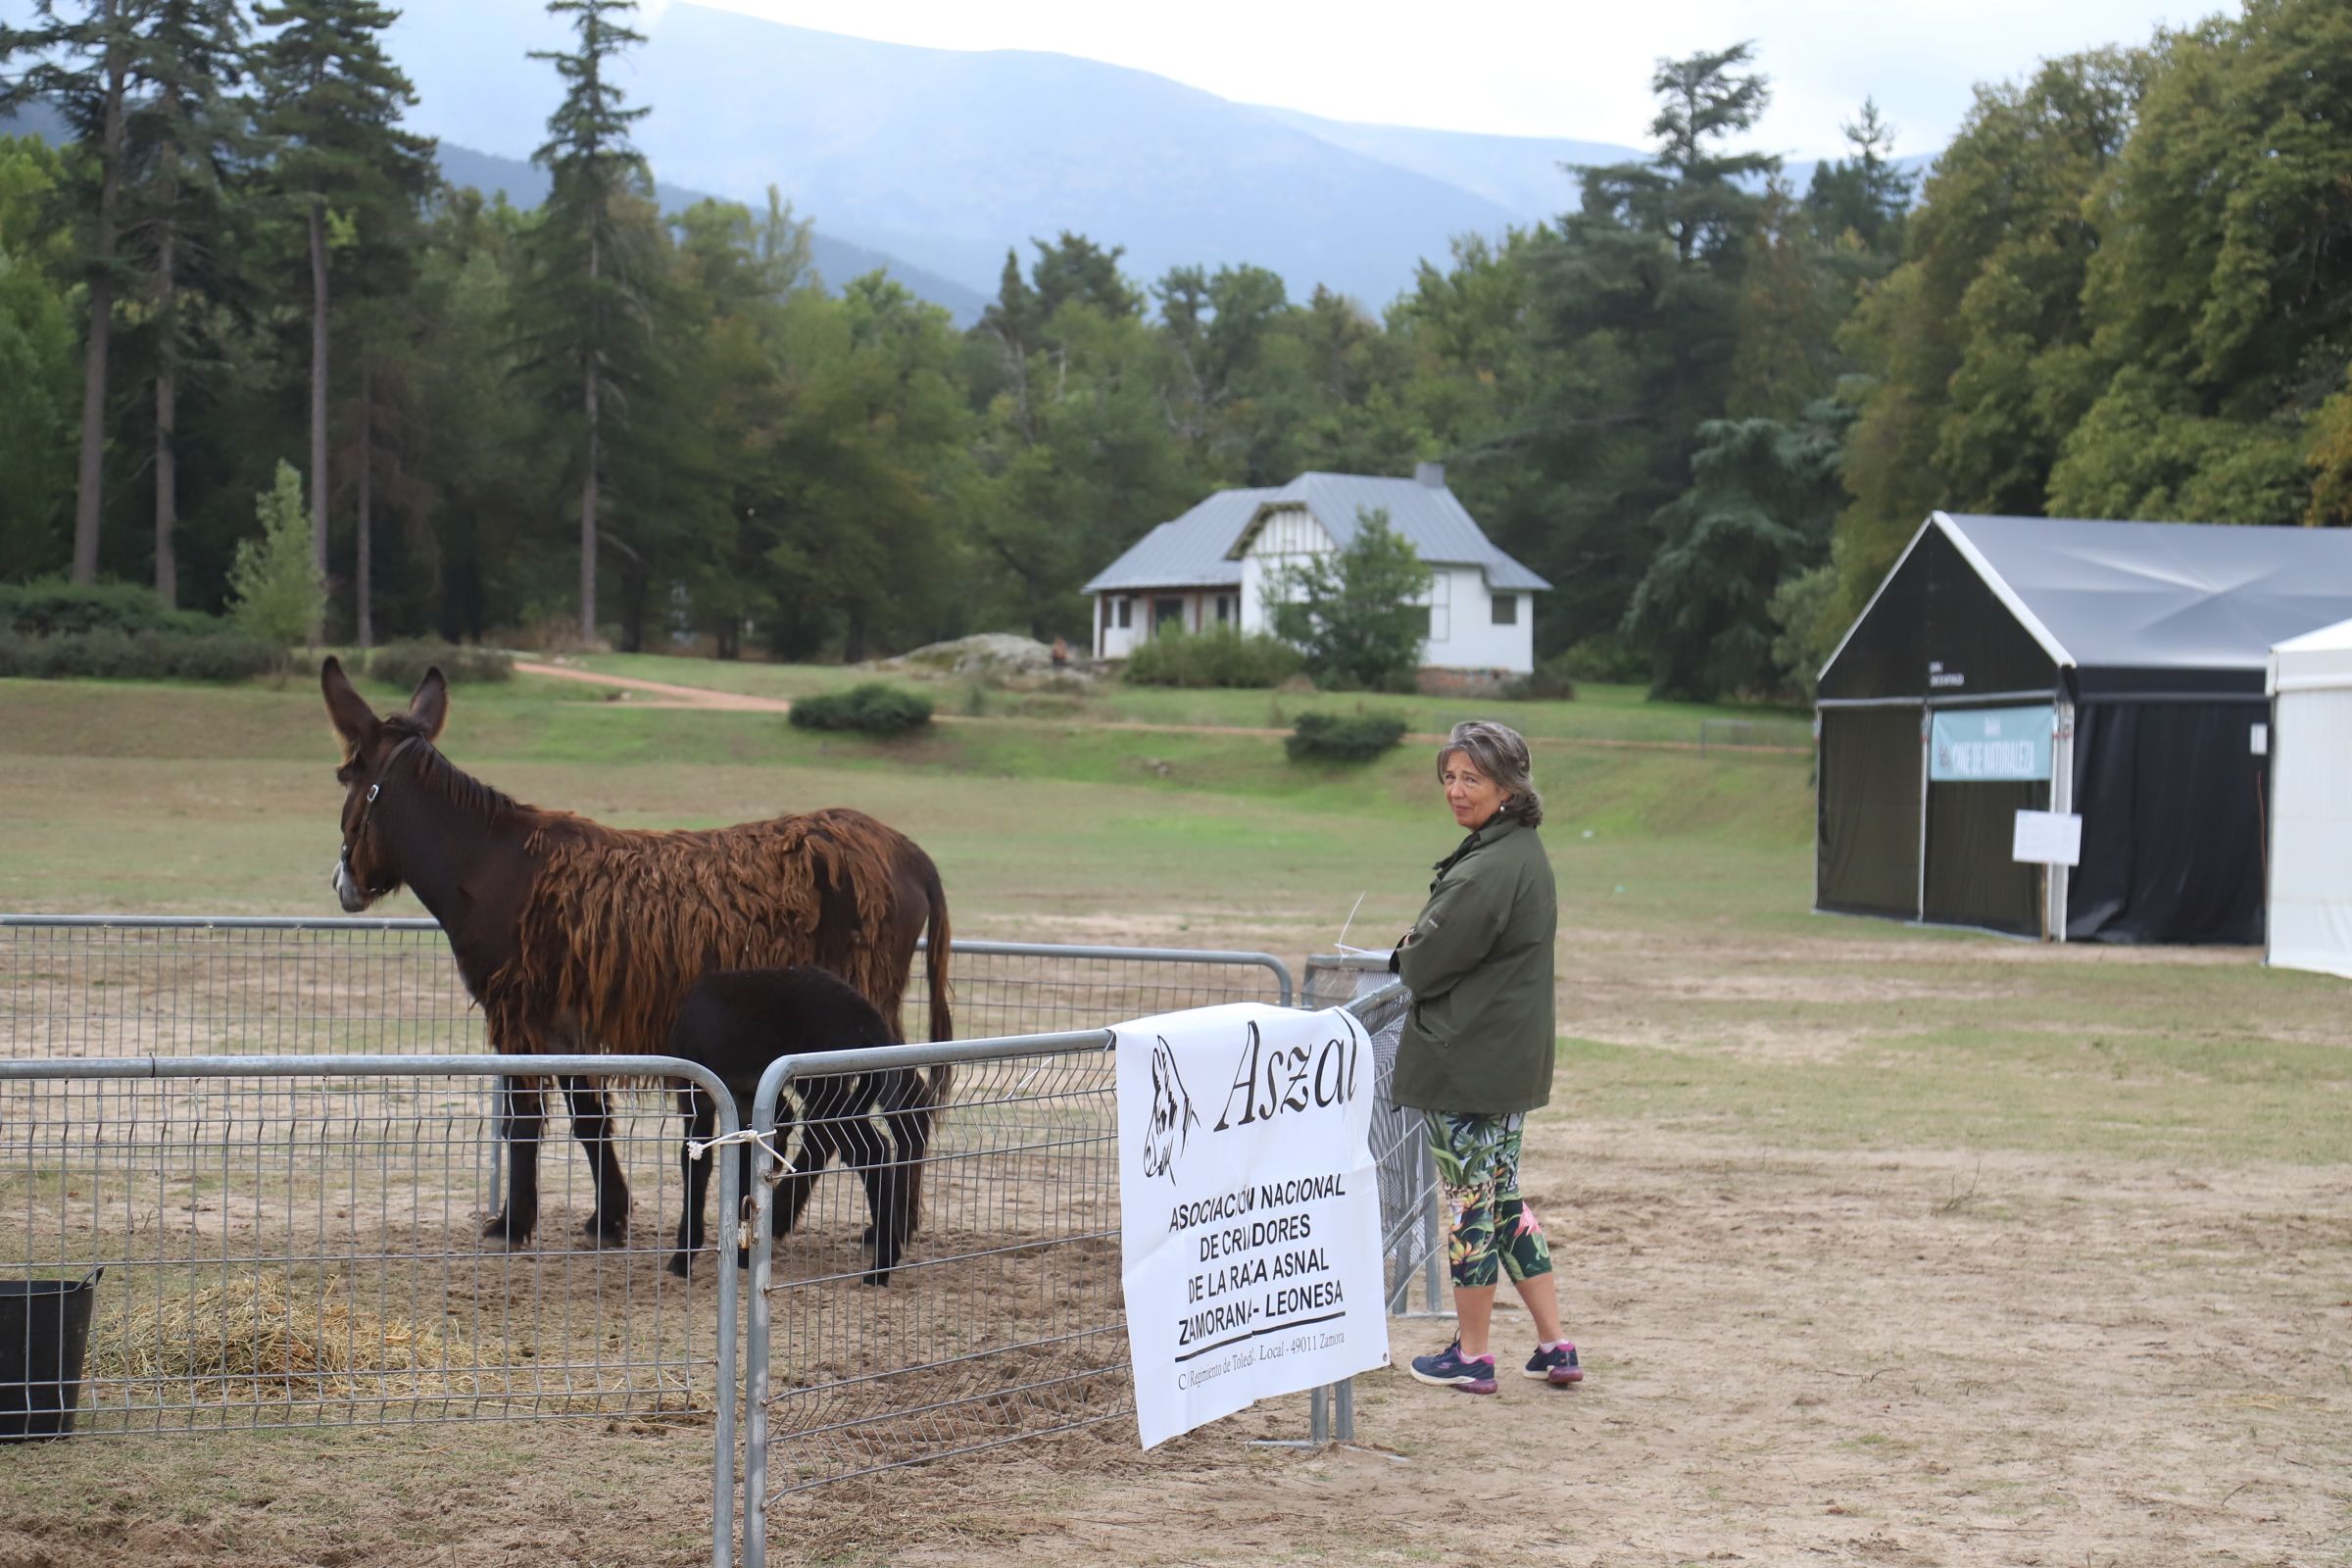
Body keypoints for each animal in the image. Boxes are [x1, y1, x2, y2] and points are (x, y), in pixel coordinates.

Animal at [662, 968, 945, 1288]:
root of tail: (867, 1016)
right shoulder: (744, 1104)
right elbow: (741, 1162)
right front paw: (744, 1255)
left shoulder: (697, 1096)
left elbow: (696, 1167)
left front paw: (682, 1259)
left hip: (823, 1086)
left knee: (873, 1150)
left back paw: (879, 1269)